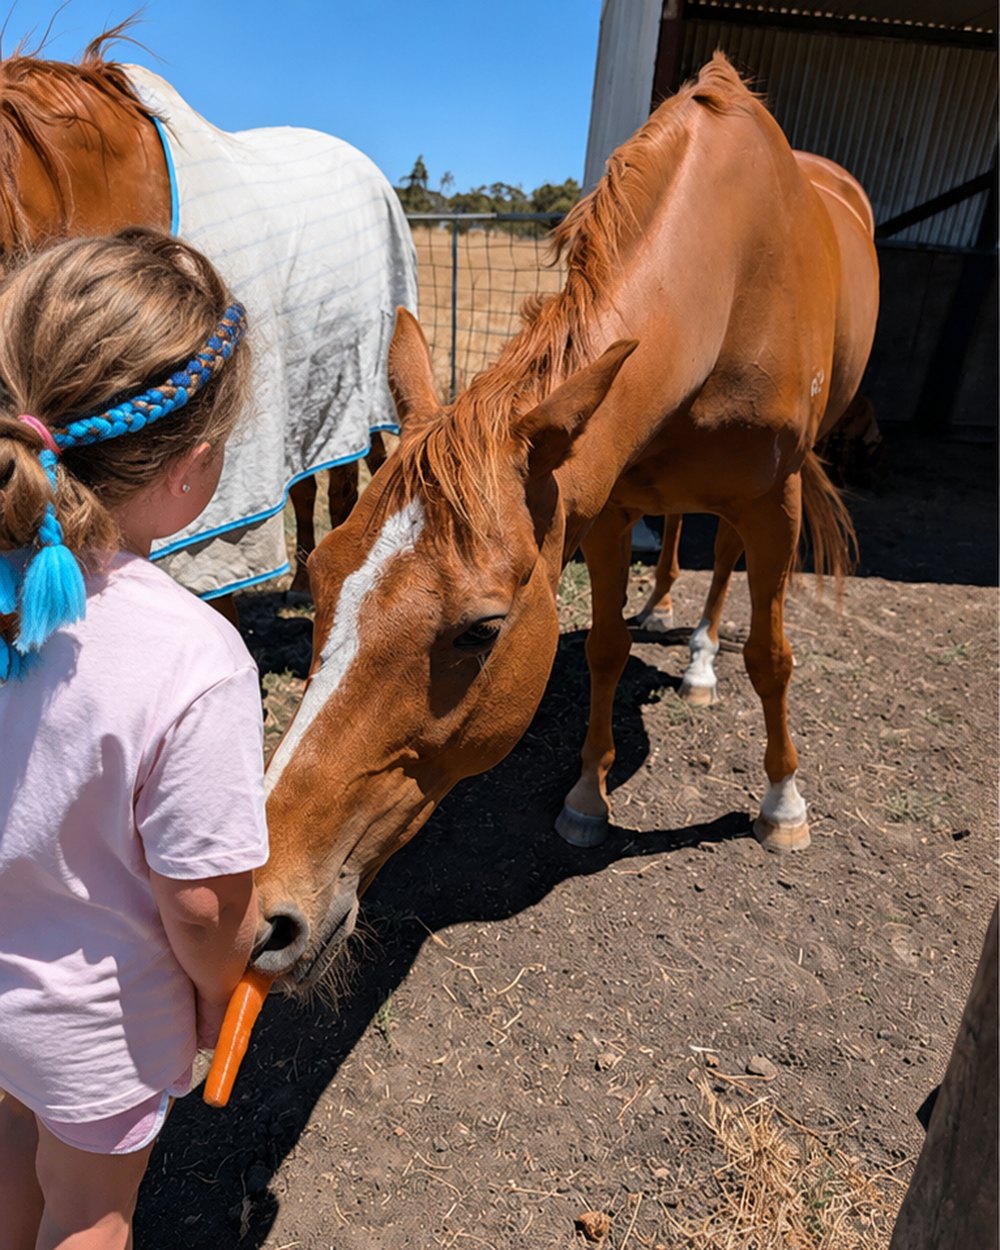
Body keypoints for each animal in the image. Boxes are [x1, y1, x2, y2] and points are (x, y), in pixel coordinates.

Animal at [252, 54, 879, 985]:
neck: (728, 274)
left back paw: (700, 659)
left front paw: (781, 804)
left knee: (728, 565)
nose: (257, 911)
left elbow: (772, 658)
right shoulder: (611, 502)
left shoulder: (776, 501)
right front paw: (588, 796)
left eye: (480, 631)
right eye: (321, 577)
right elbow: (608, 648)